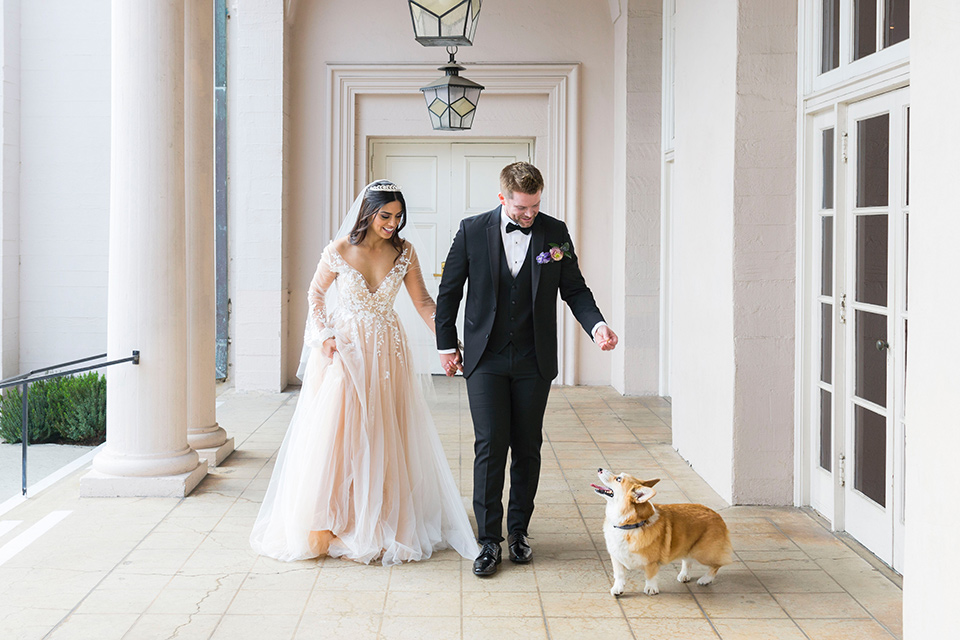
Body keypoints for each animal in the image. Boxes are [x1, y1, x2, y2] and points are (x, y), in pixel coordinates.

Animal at [588, 468, 732, 596]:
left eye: (618, 479)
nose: (599, 469)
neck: (629, 526)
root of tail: (718, 515)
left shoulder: (651, 562)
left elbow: (650, 575)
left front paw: (651, 589)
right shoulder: (616, 558)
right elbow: (619, 574)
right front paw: (618, 589)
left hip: (702, 553)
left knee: (717, 565)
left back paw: (705, 579)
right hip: (688, 546)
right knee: (687, 560)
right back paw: (684, 575)